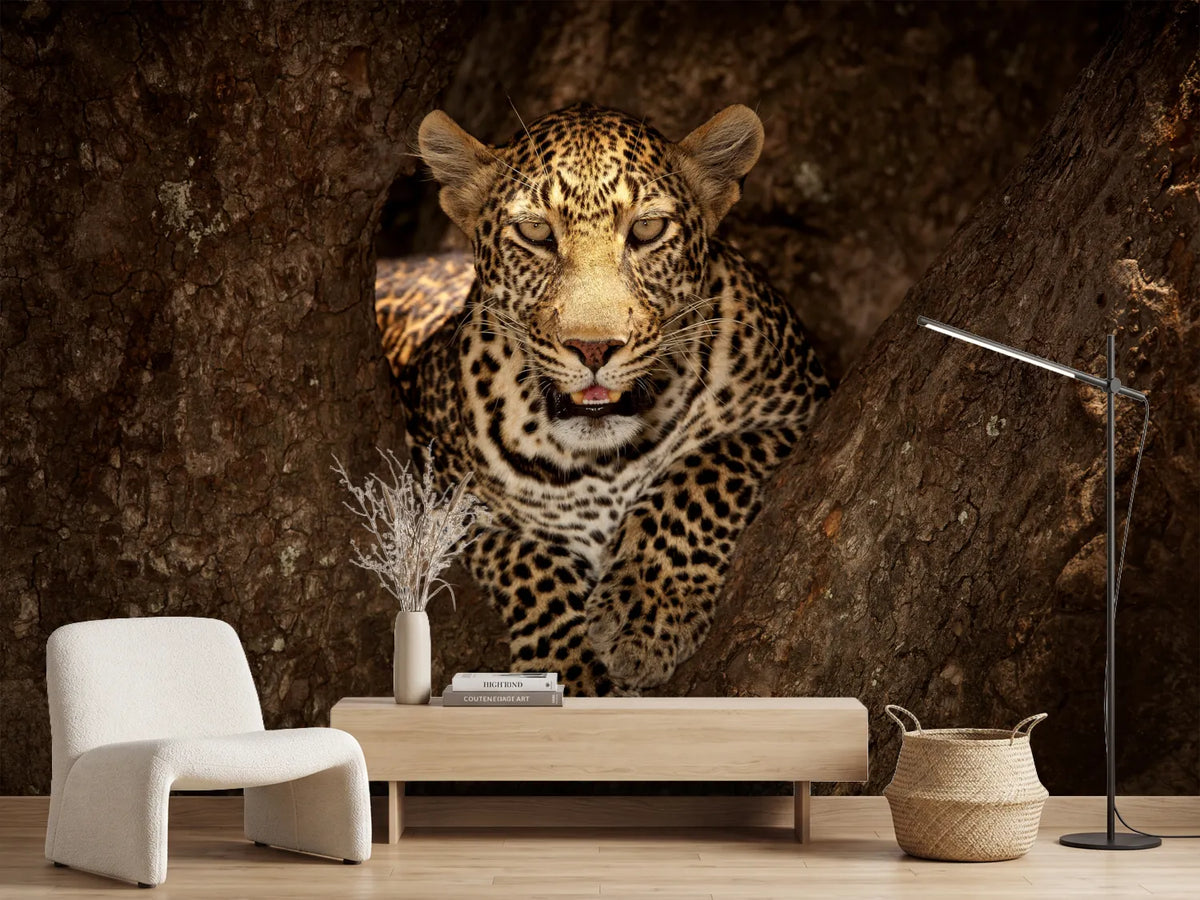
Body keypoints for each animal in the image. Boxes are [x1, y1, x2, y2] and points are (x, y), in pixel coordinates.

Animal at [377, 102, 830, 696]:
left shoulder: (800, 408)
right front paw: (575, 669)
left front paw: (645, 610)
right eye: (535, 232)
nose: (593, 346)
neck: (602, 463)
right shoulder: (437, 485)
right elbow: (522, 554)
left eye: (647, 228)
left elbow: (701, 472)